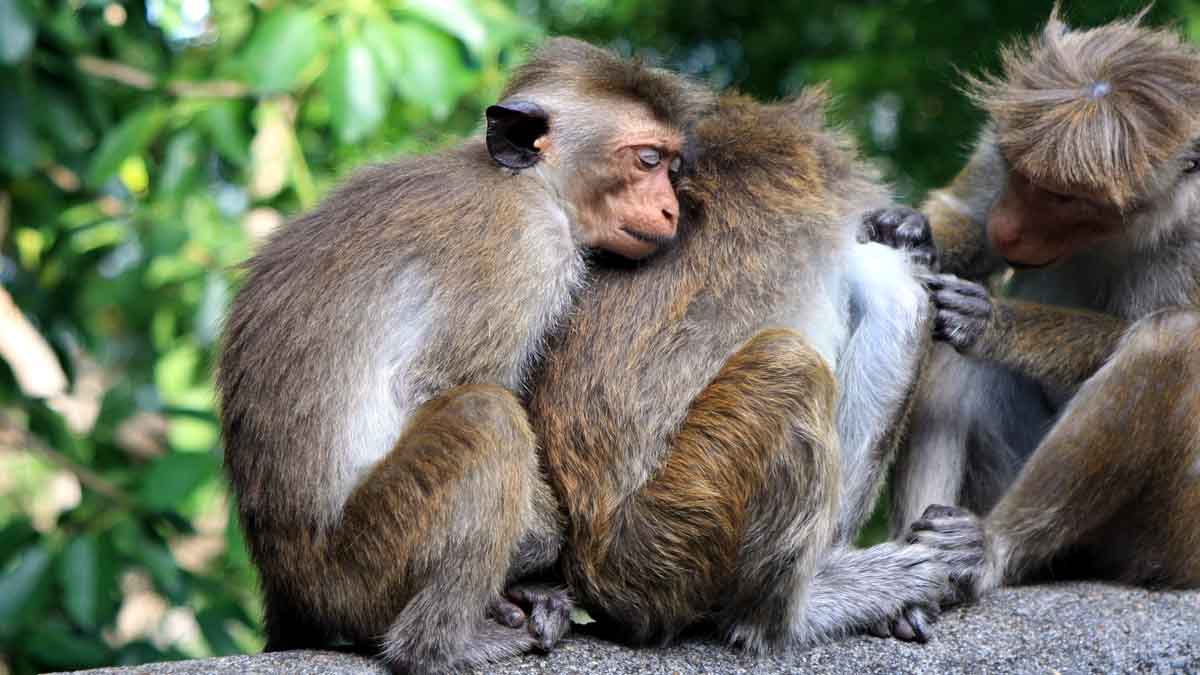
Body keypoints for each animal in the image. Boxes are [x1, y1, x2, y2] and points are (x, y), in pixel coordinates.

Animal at [216, 38, 711, 675]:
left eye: (671, 167)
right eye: (648, 160)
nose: (671, 210)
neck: (533, 185)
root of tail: (285, 586)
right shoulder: (523, 248)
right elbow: (437, 382)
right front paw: (538, 551)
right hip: (359, 570)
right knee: (485, 416)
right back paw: (439, 645)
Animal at [886, 9, 1200, 605]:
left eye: (1065, 198)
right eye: (1019, 173)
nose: (1010, 227)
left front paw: (991, 321)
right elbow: (968, 222)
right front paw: (905, 228)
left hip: (1171, 538)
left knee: (1169, 341)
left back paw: (989, 546)